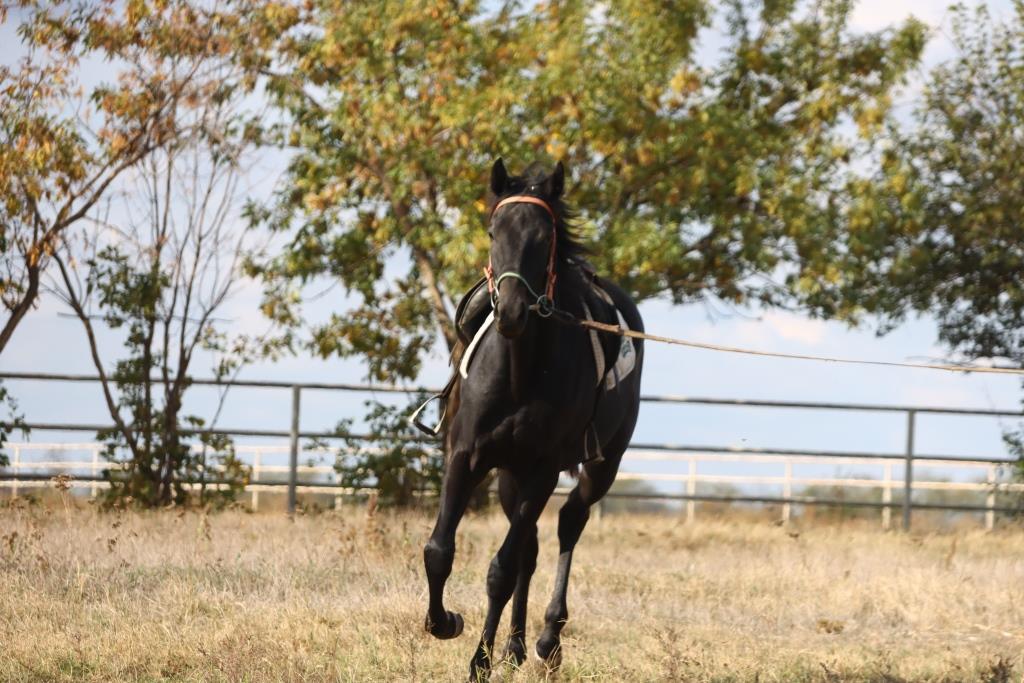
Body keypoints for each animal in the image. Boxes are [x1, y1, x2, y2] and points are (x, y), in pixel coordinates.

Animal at [419, 158, 643, 679]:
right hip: (509, 475)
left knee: (568, 524)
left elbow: (500, 571)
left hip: (601, 465)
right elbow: (439, 552)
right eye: (492, 231)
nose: (512, 312)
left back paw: (546, 640)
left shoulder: (543, 470)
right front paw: (445, 623)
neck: (521, 370)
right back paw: (516, 645)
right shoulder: (467, 457)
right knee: (532, 548)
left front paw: (478, 662)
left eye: (544, 237)